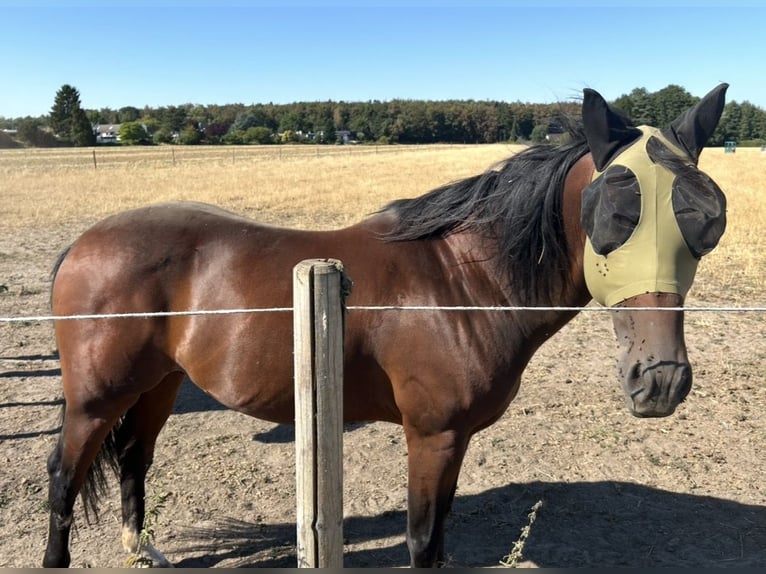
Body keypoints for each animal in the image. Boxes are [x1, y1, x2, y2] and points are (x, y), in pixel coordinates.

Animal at [43, 84, 728, 568]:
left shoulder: (455, 440)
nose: (661, 381)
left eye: (708, 219)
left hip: (157, 385)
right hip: (96, 399)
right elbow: (422, 540)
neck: (462, 283)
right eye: (615, 213)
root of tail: (83, 244)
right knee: (63, 476)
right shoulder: (432, 437)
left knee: (134, 460)